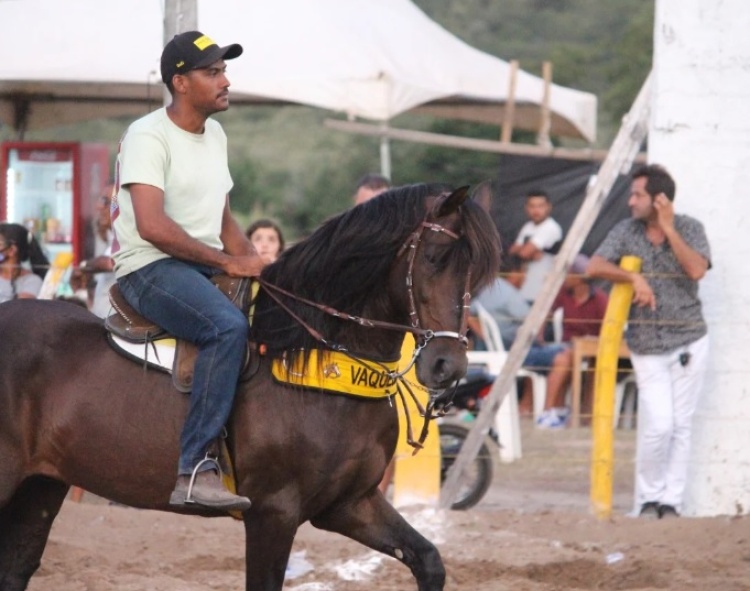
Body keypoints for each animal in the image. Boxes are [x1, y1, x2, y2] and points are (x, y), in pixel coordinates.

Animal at [1, 183, 506, 588]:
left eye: (478, 272)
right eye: (436, 258)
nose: (447, 366)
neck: (318, 361)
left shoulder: (350, 504)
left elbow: (428, 560)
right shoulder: (273, 513)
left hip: (41, 485)